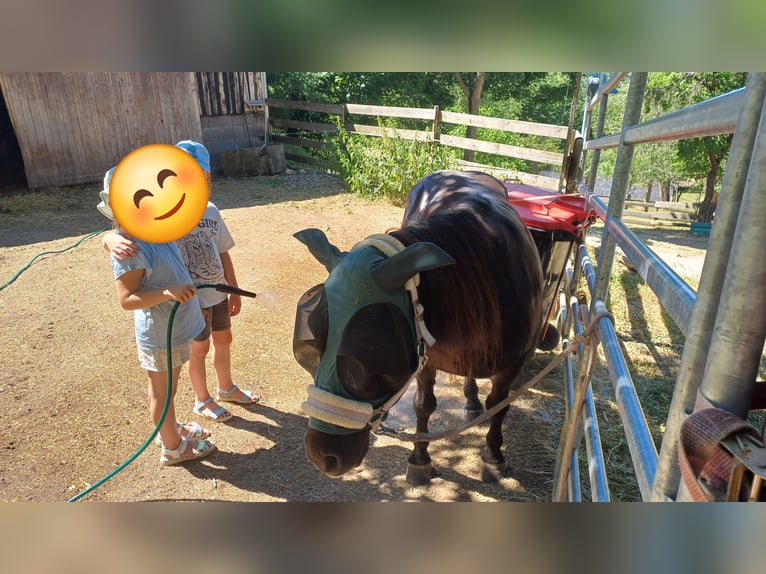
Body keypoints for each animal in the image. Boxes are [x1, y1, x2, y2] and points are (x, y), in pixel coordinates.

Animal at [292, 170, 544, 484]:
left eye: (375, 349)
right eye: (310, 343)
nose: (323, 457)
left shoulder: (515, 363)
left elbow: (499, 405)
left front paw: (494, 455)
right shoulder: (426, 356)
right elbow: (424, 405)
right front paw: (420, 459)